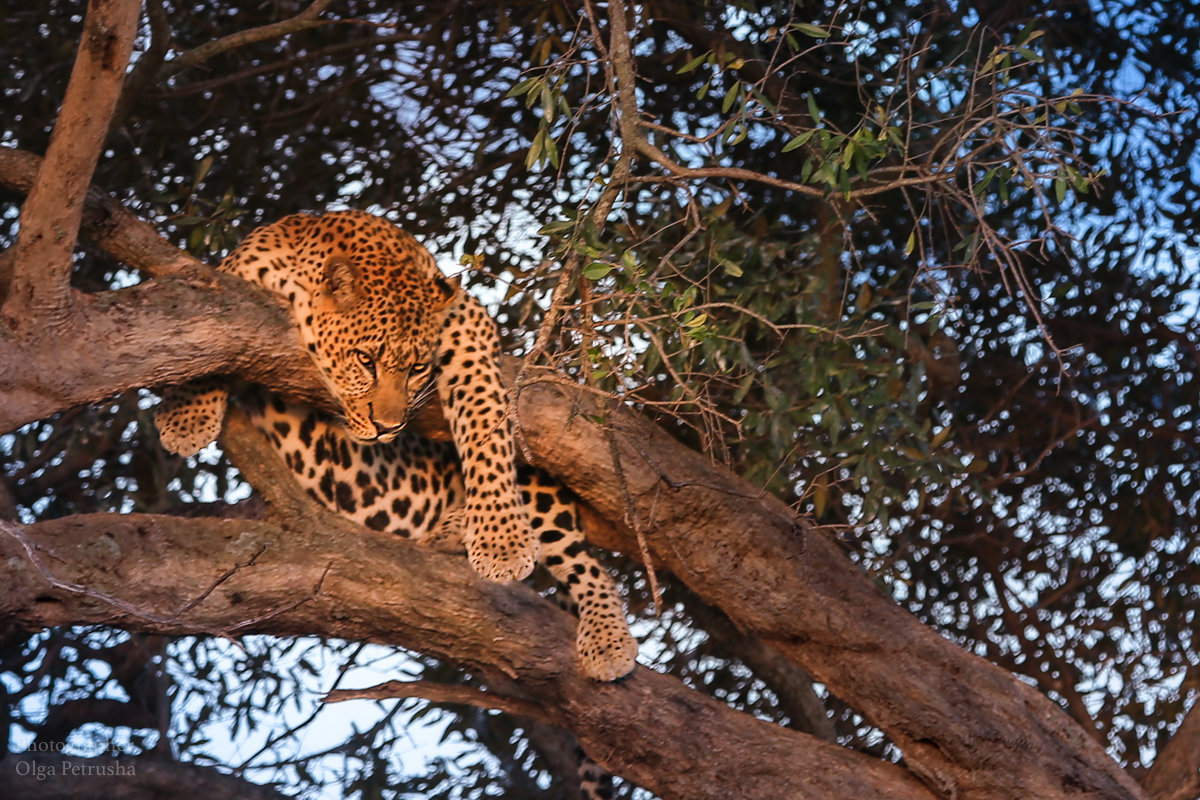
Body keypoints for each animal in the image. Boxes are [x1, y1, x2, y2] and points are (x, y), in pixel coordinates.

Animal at [157, 206, 638, 681]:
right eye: (365, 359)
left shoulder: (466, 317)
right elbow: (211, 338)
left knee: (588, 566)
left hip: (544, 496)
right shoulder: (230, 282)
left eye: (418, 368)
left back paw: (606, 638)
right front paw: (187, 414)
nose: (387, 427)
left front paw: (502, 539)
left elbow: (483, 416)